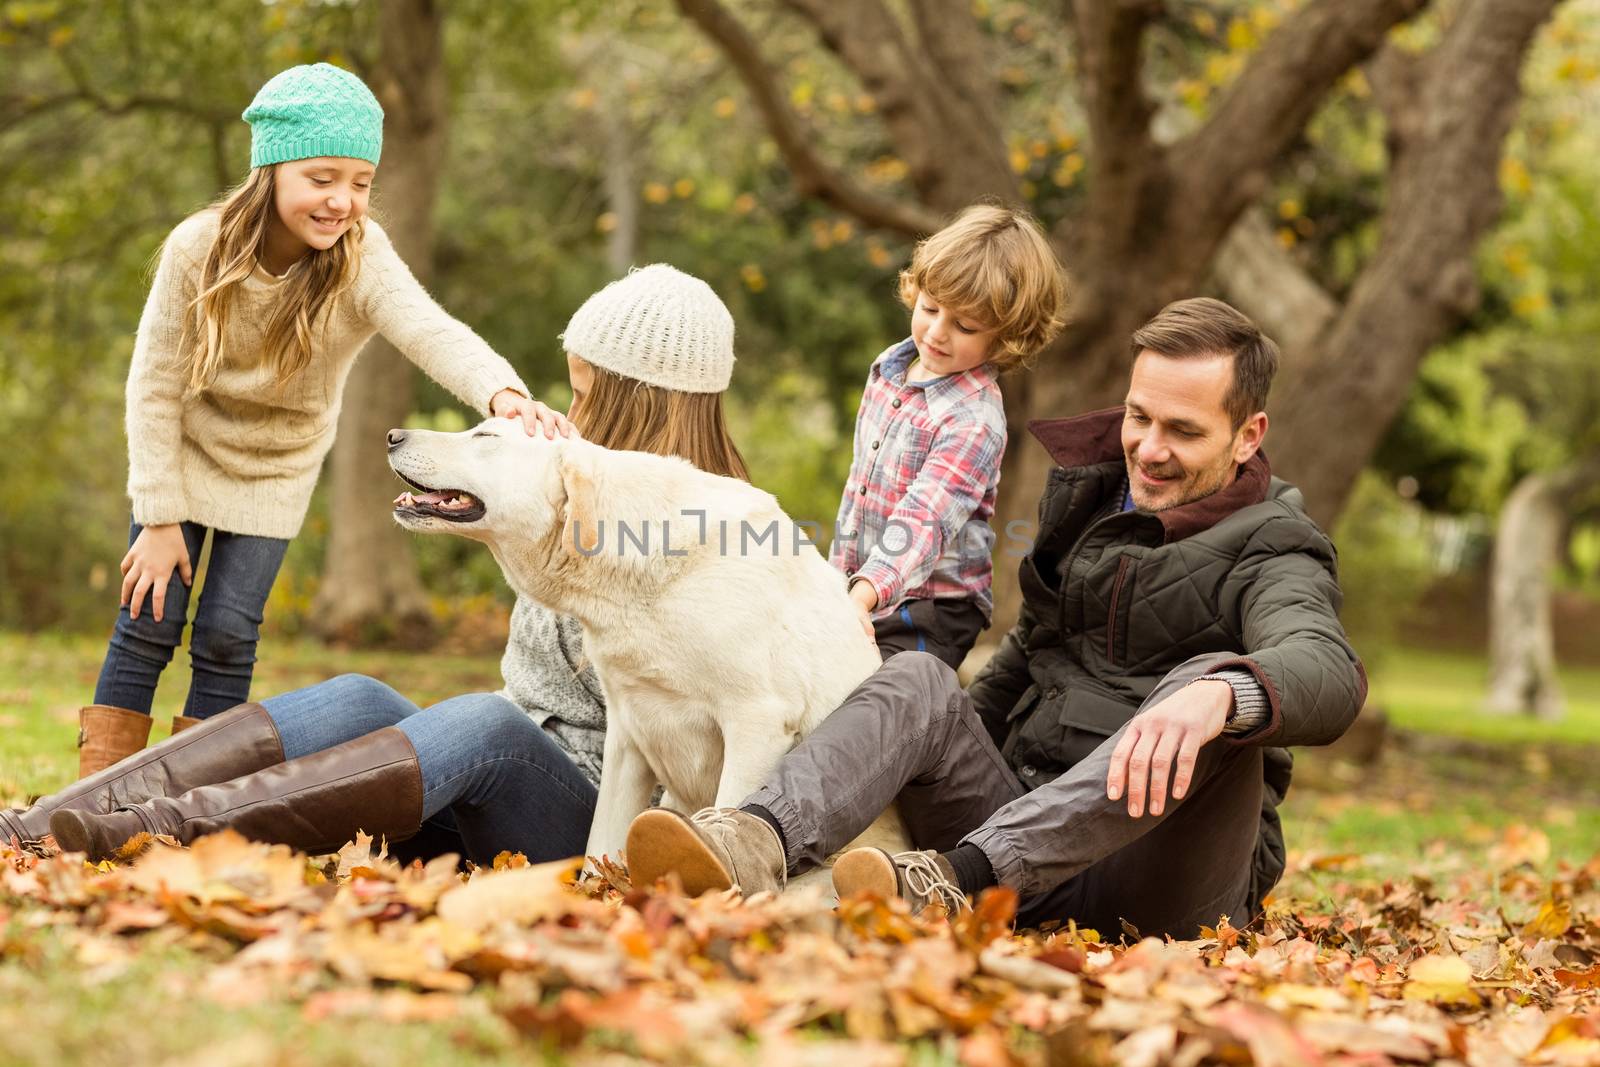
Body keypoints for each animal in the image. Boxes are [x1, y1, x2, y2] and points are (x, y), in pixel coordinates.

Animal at [382, 422, 908, 889]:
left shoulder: (756, 722)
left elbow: (734, 809)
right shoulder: (628, 734)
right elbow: (599, 845)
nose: (391, 435)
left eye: (485, 436)